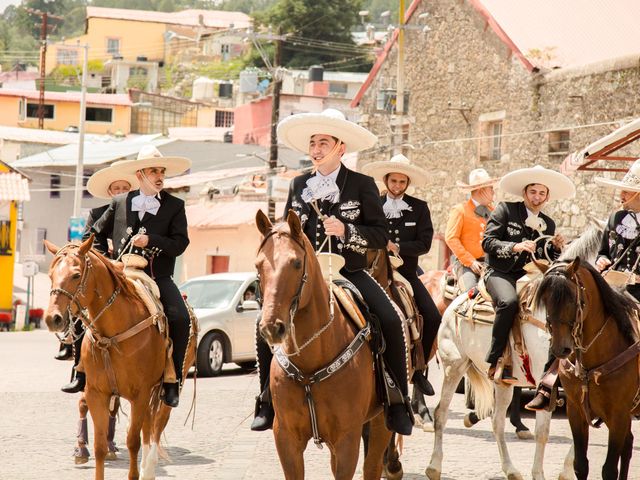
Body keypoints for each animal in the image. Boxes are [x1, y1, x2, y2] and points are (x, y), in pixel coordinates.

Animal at [43, 236, 196, 480]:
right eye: (51, 275)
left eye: (76, 275)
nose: (52, 318)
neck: (112, 335)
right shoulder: (97, 393)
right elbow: (99, 446)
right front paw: (87, 451)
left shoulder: (139, 394)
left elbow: (133, 441)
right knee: (148, 426)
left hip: (166, 389)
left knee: (157, 425)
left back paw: (149, 467)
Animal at [255, 212, 396, 480]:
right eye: (258, 265)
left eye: (296, 263)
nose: (272, 327)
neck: (311, 360)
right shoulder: (286, 438)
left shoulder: (347, 441)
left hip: (382, 419)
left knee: (372, 466)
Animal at [428, 225, 604, 480]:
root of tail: (454, 303)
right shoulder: (546, 384)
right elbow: (543, 432)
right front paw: (539, 473)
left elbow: (581, 429)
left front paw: (566, 471)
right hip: (454, 368)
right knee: (441, 413)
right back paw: (434, 466)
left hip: (502, 382)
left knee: (497, 423)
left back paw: (510, 469)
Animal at [536, 258, 640, 480]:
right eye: (546, 300)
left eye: (572, 299)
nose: (561, 349)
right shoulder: (576, 411)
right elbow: (580, 465)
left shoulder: (618, 414)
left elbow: (609, 469)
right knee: (628, 445)